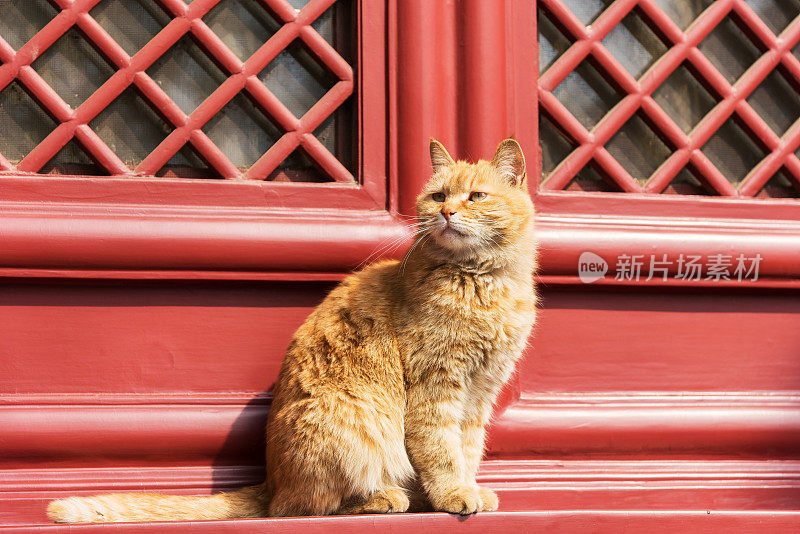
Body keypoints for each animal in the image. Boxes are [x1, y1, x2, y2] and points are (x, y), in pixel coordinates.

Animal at [48, 137, 536, 524]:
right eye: (438, 196)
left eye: (476, 196)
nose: (448, 212)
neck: (480, 281)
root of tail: (271, 483)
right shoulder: (436, 389)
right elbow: (442, 451)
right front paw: (454, 494)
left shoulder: (479, 395)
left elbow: (467, 448)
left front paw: (469, 487)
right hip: (355, 421)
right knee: (306, 506)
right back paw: (386, 497)